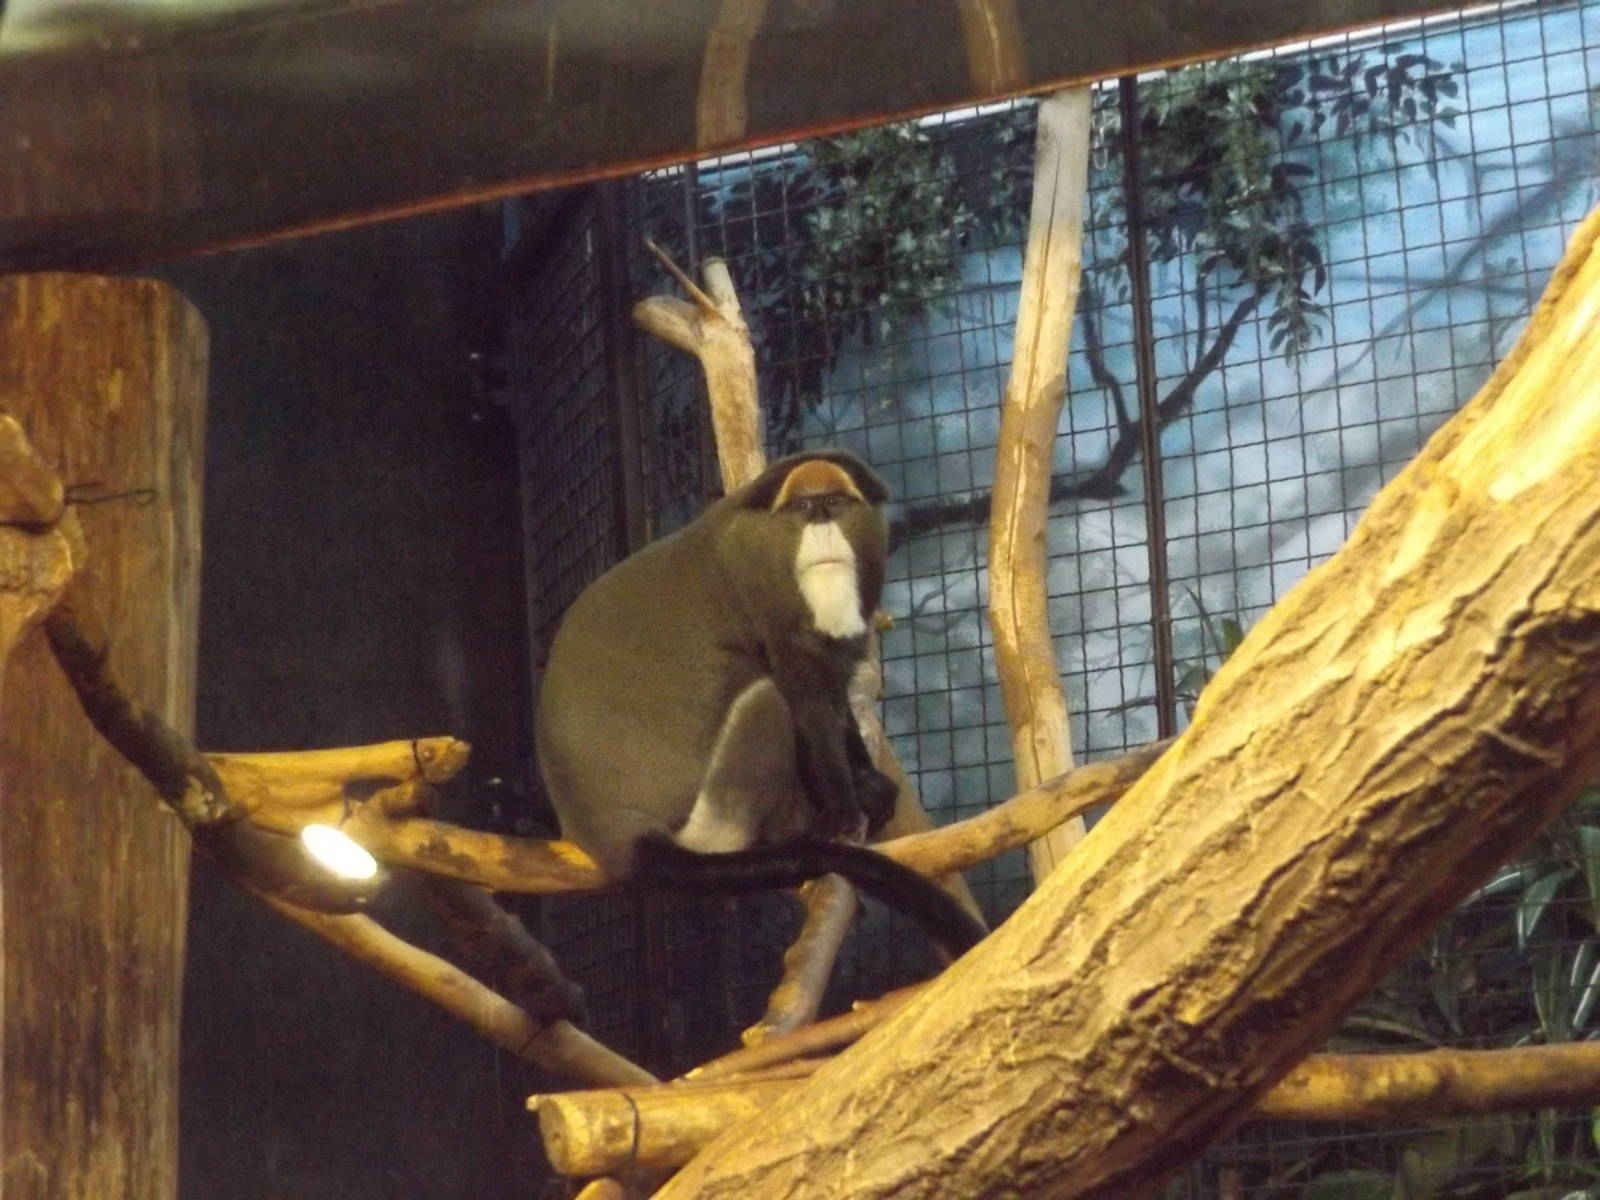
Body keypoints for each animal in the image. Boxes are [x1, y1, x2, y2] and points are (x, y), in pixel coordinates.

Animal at [535, 449, 986, 960]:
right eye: (803, 508)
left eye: (834, 502)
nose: (822, 520)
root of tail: (617, 836)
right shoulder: (771, 611)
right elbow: (807, 703)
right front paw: (845, 811)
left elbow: (836, 701)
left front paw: (869, 785)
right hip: (711, 820)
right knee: (766, 698)